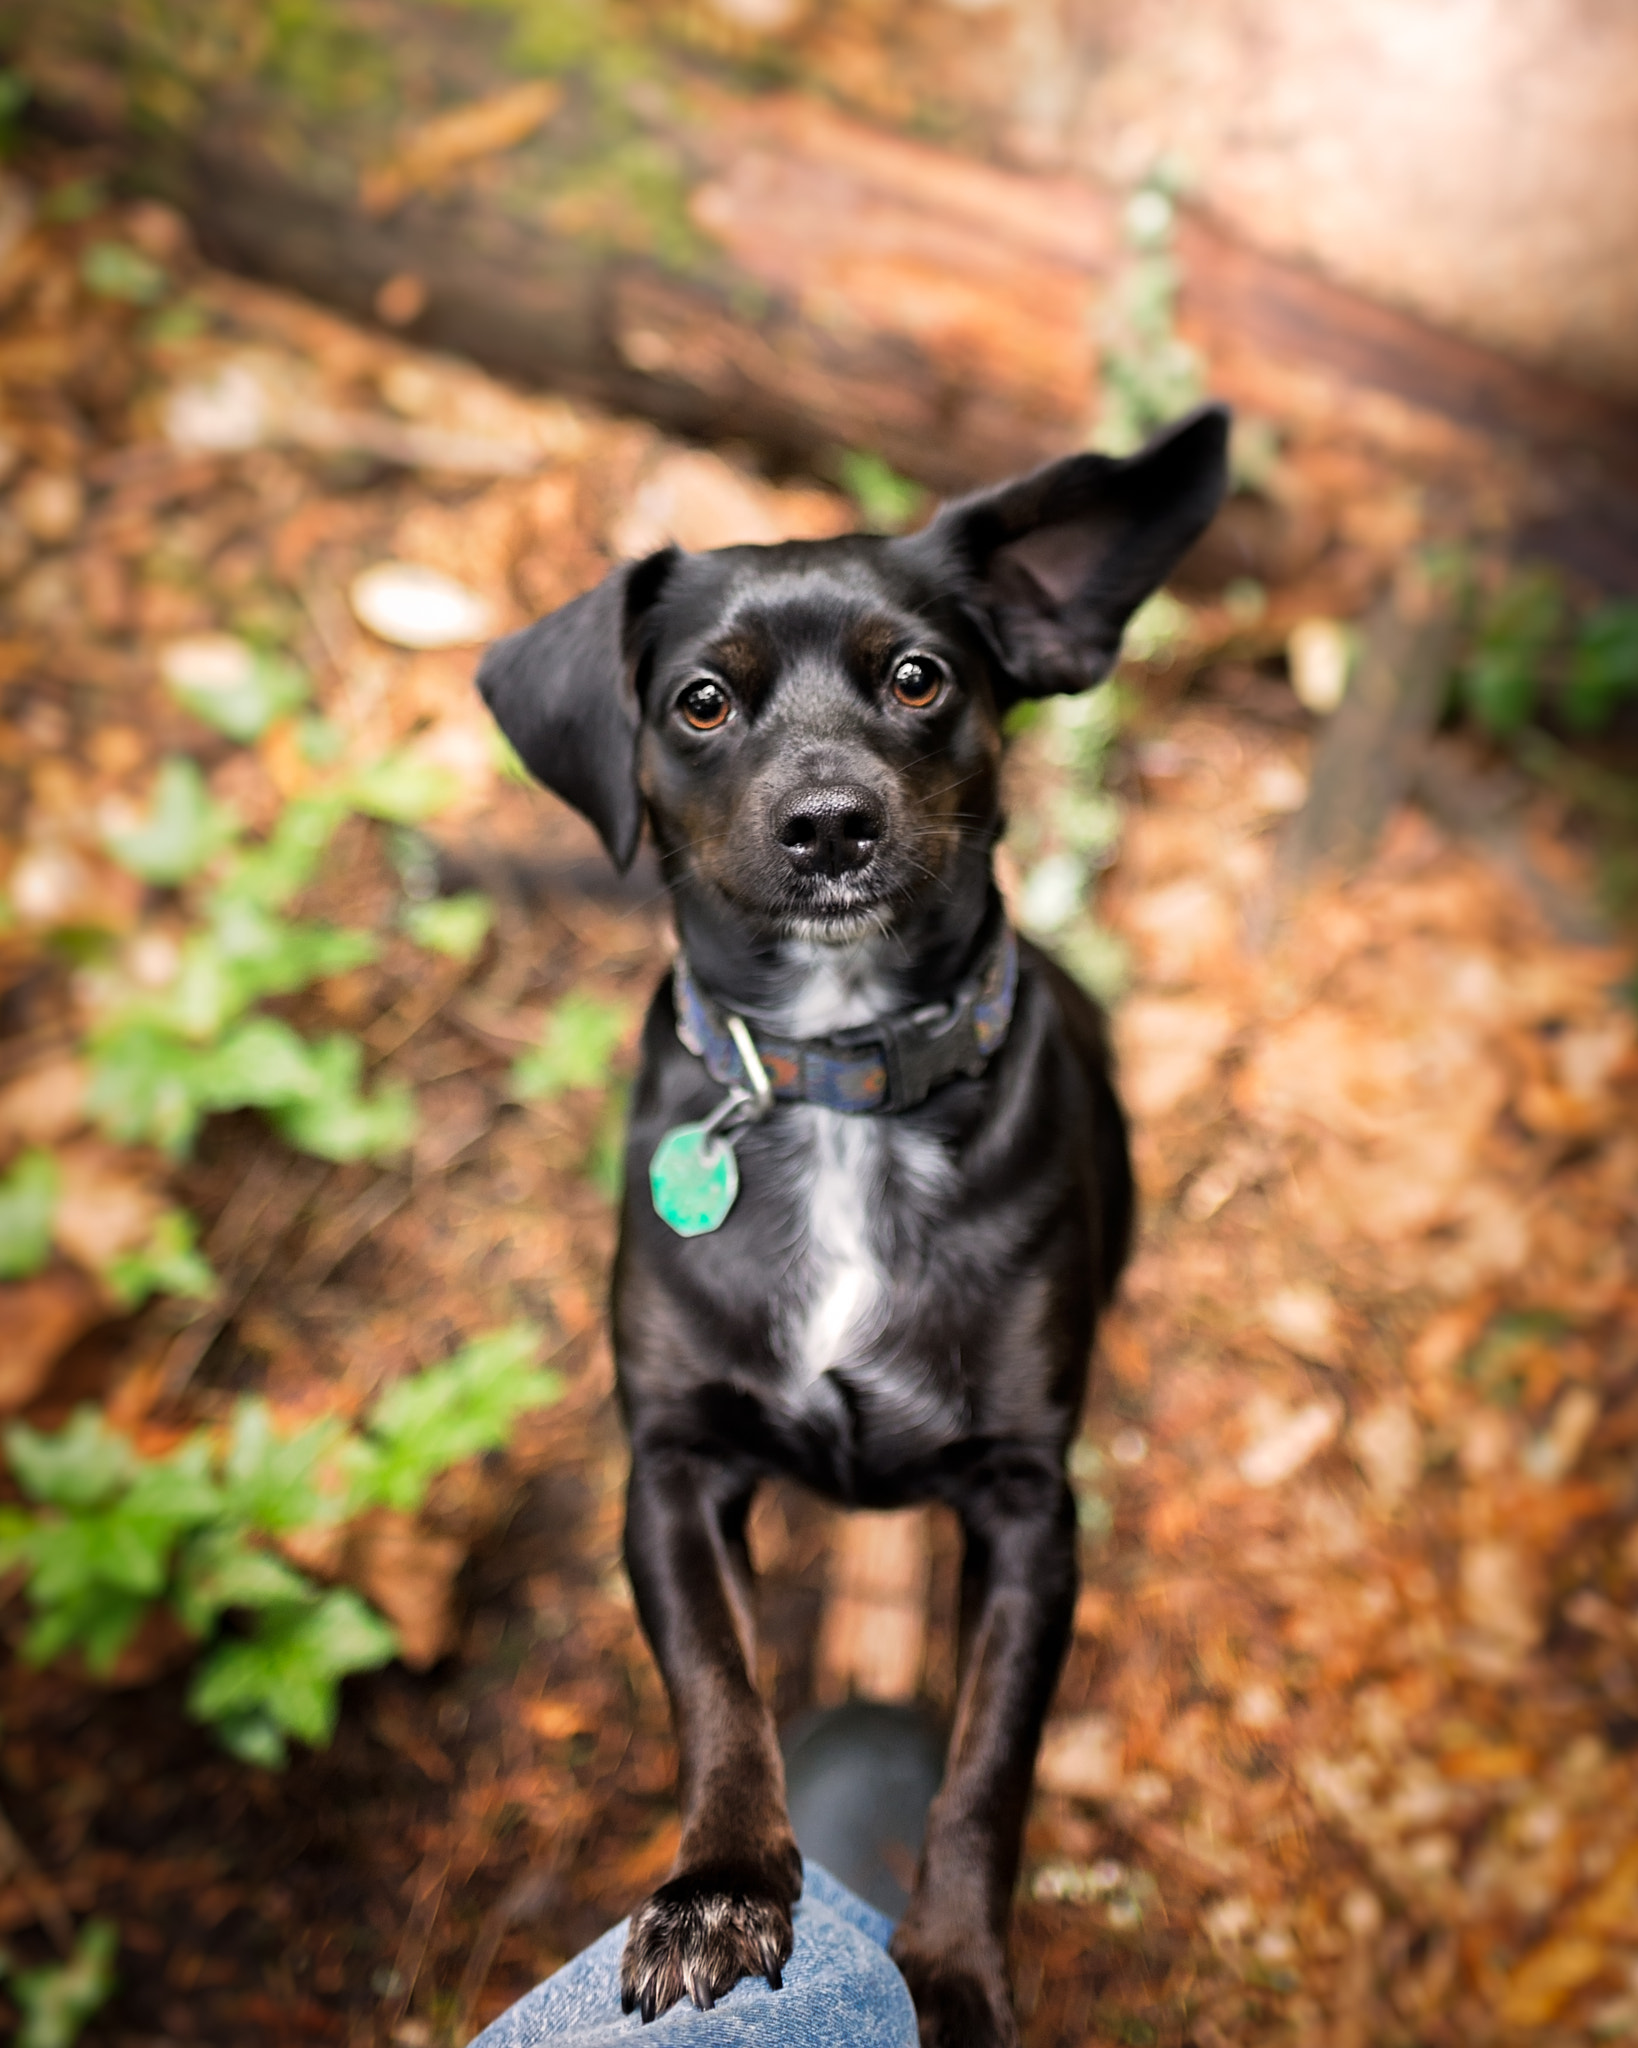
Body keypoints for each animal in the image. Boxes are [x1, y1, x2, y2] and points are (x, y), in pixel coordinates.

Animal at [479, 403, 1220, 2048]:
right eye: (700, 702)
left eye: (918, 676)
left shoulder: (1026, 1507)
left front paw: (945, 1969)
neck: (837, 1089)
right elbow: (716, 1689)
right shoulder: (672, 1466)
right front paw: (720, 1889)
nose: (829, 823)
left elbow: (985, 1769)